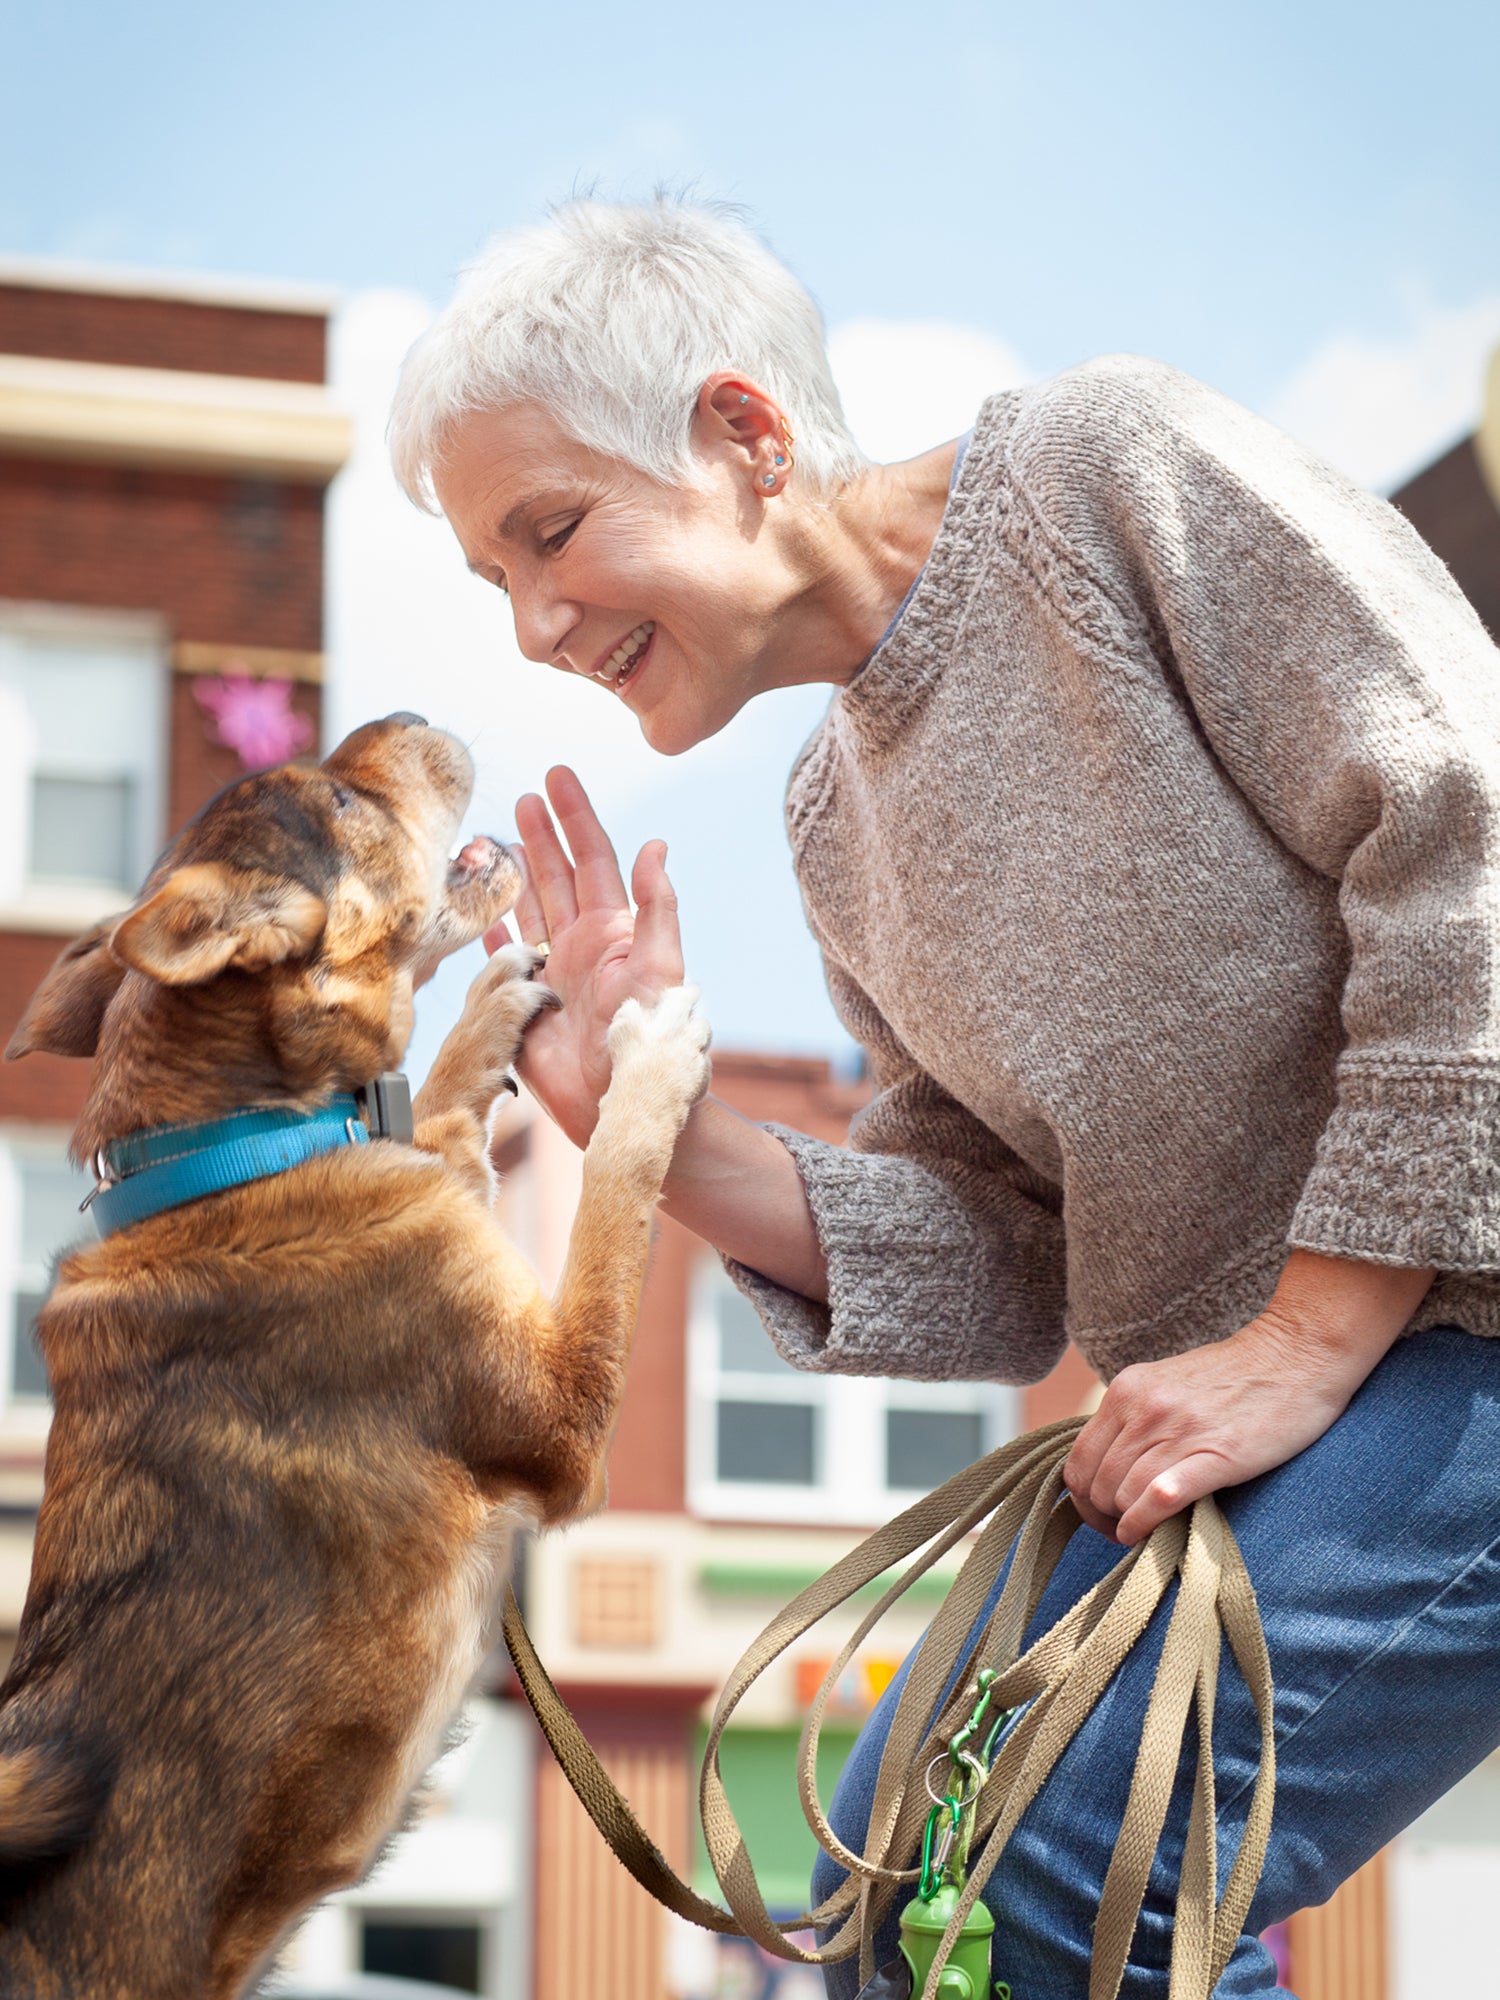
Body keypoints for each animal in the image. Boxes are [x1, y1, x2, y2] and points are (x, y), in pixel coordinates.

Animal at [0, 720, 712, 2000]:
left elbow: (439, 1110)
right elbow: (614, 1186)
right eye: (337, 800)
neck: (240, 1146)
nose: (413, 715)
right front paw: (645, 1059)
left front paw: (487, 1012)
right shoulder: (560, 1407)